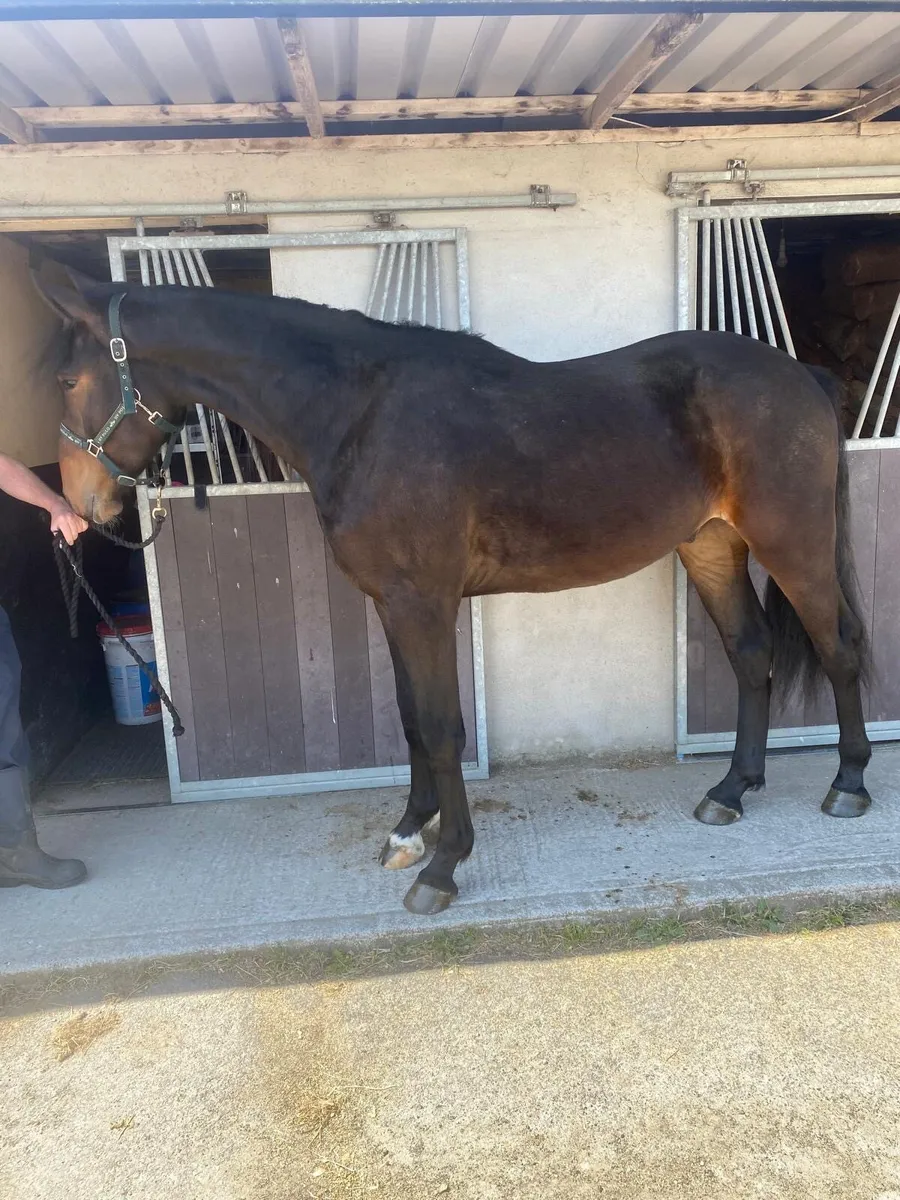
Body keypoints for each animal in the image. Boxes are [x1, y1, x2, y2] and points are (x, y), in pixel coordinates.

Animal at [38, 273, 873, 917]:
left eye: (69, 380)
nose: (80, 505)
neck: (359, 414)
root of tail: (803, 377)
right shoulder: (391, 602)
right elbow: (411, 721)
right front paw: (410, 832)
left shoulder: (422, 603)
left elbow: (441, 729)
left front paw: (445, 866)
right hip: (711, 547)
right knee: (752, 654)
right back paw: (731, 790)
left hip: (793, 547)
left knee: (839, 651)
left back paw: (849, 784)